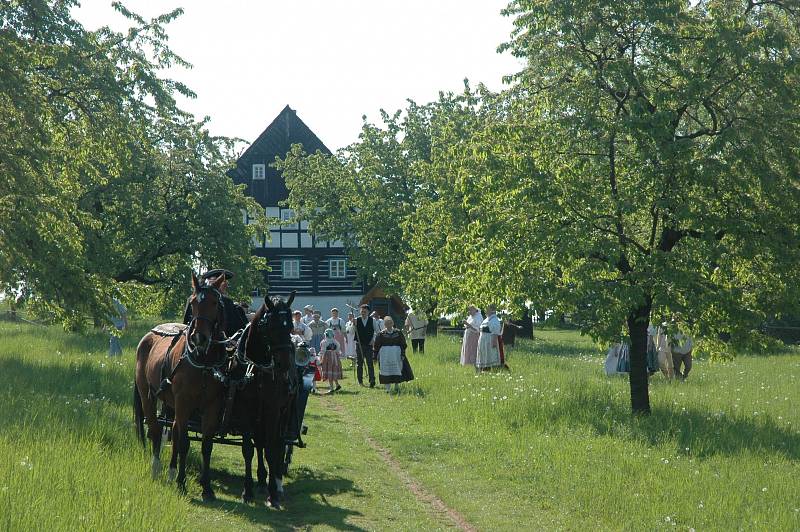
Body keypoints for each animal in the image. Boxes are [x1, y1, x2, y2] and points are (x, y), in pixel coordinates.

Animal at [134, 272, 228, 500]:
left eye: (215, 303)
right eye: (193, 303)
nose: (199, 337)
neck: (203, 361)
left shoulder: (212, 406)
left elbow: (206, 445)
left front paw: (207, 487)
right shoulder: (184, 402)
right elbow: (184, 442)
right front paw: (182, 482)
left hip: (173, 404)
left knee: (174, 431)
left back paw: (170, 471)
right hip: (148, 395)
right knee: (156, 429)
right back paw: (157, 468)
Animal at [234, 294, 296, 510]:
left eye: (291, 326)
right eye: (271, 326)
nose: (284, 364)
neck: (257, 369)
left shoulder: (273, 410)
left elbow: (271, 449)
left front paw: (273, 495)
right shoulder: (244, 410)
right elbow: (248, 449)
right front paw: (247, 491)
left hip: (284, 414)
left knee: (279, 443)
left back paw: (276, 482)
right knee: (259, 442)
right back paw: (261, 480)